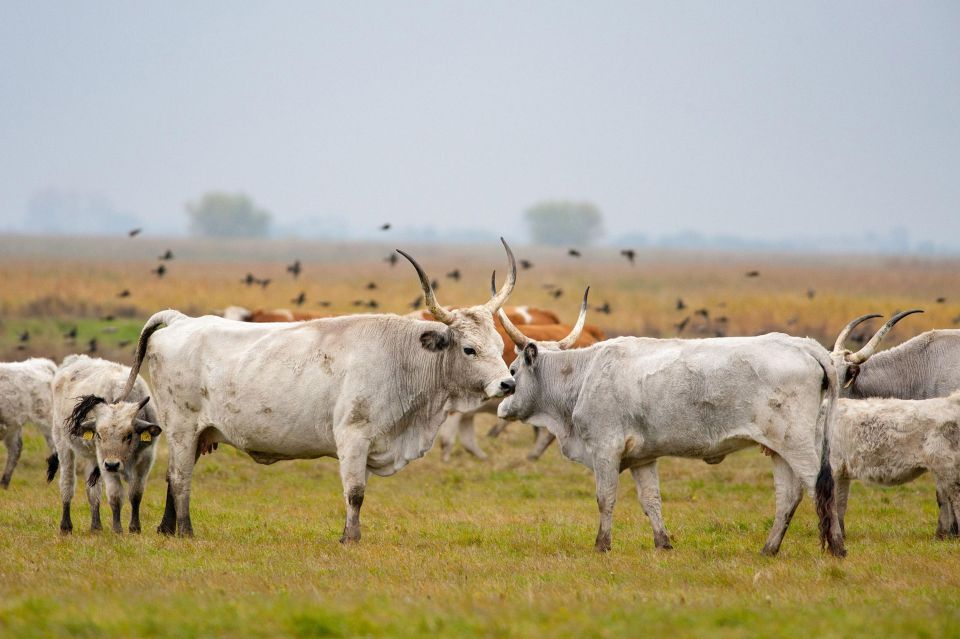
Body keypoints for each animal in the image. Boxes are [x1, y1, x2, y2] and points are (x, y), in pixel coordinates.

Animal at [50, 356, 161, 536]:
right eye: (100, 435)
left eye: (128, 435)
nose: (112, 464)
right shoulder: (104, 461)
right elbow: (115, 495)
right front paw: (117, 529)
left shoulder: (146, 459)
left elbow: (136, 493)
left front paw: (135, 528)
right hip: (62, 443)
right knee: (67, 483)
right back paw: (66, 526)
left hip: (92, 458)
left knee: (93, 492)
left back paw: (96, 526)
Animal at [498, 292, 844, 556]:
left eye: (513, 371)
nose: (501, 398)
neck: (585, 374)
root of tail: (804, 345)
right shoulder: (642, 459)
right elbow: (651, 501)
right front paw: (663, 543)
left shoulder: (605, 449)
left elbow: (605, 497)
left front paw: (602, 546)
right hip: (778, 449)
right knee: (788, 496)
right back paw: (769, 549)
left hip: (797, 445)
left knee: (818, 488)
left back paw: (837, 547)